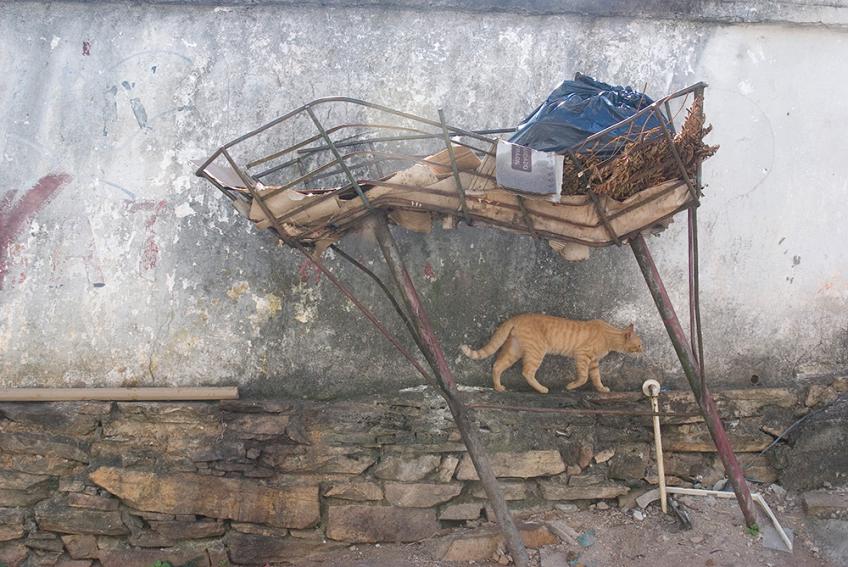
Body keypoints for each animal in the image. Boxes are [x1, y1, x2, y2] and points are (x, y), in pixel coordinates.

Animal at [464, 316, 644, 394]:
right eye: (639, 345)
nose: (644, 351)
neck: (609, 335)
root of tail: (517, 317)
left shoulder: (593, 362)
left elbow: (596, 377)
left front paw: (601, 388)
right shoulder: (582, 355)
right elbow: (583, 377)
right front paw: (570, 386)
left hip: (514, 351)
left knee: (497, 365)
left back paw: (498, 387)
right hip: (536, 352)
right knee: (527, 372)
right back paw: (542, 389)